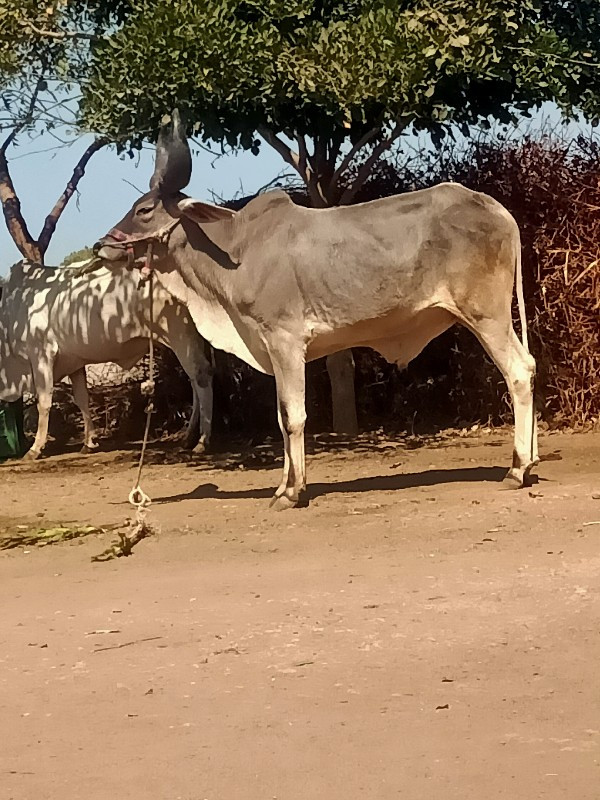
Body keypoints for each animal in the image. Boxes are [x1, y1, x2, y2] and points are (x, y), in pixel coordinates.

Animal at [0, 256, 213, 456]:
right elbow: (82, 400)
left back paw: (202, 440)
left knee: (201, 378)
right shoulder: (74, 362)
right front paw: (89, 442)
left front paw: (35, 448)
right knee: (194, 383)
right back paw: (189, 437)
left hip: (180, 336)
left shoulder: (41, 355)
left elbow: (43, 402)